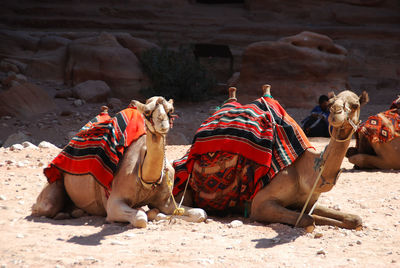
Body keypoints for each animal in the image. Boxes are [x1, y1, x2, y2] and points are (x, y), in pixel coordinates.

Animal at [31, 97, 206, 227]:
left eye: (171, 110)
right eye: (147, 112)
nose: (163, 123)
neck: (147, 178)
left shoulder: (167, 201)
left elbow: (201, 213)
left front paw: (157, 214)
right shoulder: (114, 202)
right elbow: (141, 218)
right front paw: (150, 214)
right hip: (55, 183)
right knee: (43, 207)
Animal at [175, 86, 368, 230]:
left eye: (355, 104)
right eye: (330, 104)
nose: (336, 112)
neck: (305, 173)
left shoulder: (306, 202)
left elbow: (354, 219)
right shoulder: (260, 204)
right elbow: (307, 219)